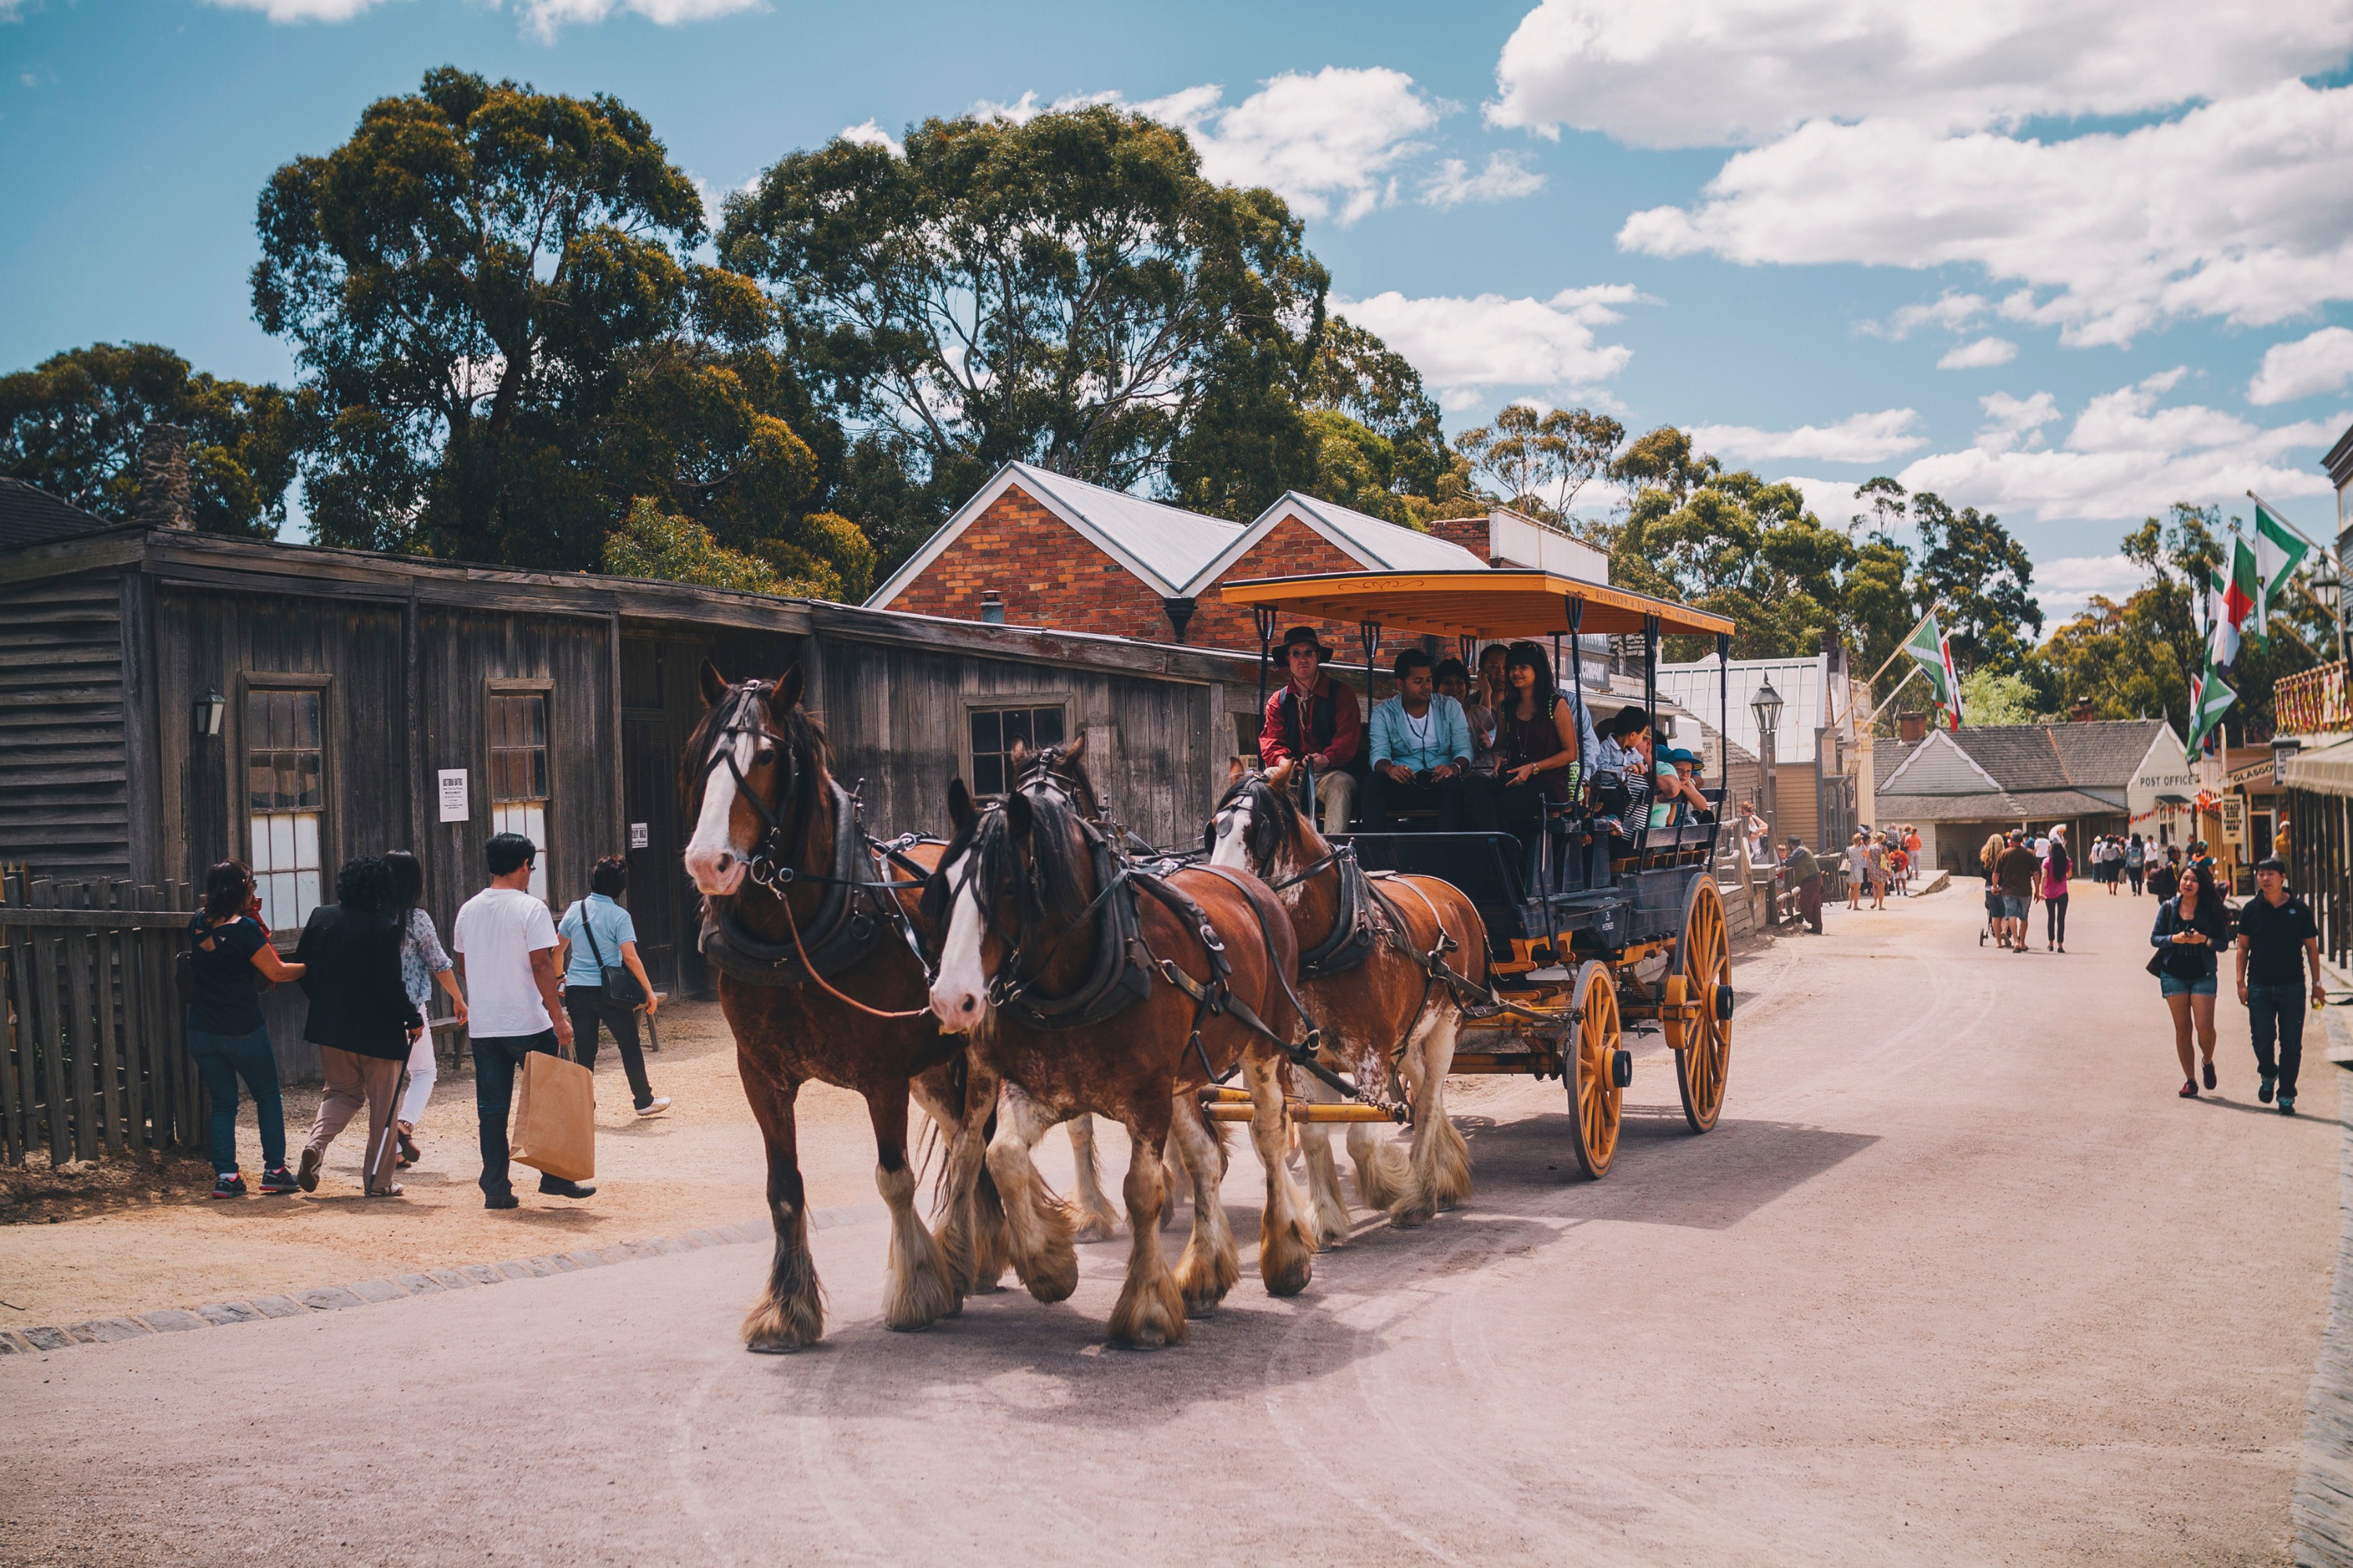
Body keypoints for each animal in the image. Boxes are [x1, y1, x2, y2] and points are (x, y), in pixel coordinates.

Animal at [678, 659, 998, 1346]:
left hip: (978, 1054)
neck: (792, 939)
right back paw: (980, 1252)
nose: (708, 861)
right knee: (961, 1134)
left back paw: (967, 1255)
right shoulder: (761, 1074)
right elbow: (783, 1188)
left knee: (971, 1142)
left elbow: (895, 1179)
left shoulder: (882, 1076)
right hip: (932, 1066)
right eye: (702, 755)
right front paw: (786, 1308)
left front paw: (915, 1291)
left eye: (767, 754)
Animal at [922, 762, 1327, 1337]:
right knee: (1204, 1159)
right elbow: (1002, 1156)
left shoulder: (1147, 1099)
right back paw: (1204, 1273)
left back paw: (1286, 1255)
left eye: (1007, 886)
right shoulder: (1042, 1089)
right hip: (1186, 1075)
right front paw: (1049, 1265)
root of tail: (1251, 884)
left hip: (1263, 1050)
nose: (950, 998)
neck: (1098, 961)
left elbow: (1142, 1191)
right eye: (944, 885)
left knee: (1269, 1137)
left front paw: (1147, 1307)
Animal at [1205, 758, 1478, 1233]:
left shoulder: (1370, 1054)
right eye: (1215, 827)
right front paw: (1328, 1218)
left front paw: (1388, 1186)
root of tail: (1451, 891)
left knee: (1427, 1102)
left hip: (1446, 1026)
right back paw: (1443, 1174)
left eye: (1258, 831)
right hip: (1408, 1037)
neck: (1330, 944)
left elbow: (1361, 1137)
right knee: (1425, 1086)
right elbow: (1314, 1131)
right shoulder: (1301, 1056)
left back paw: (1419, 1196)